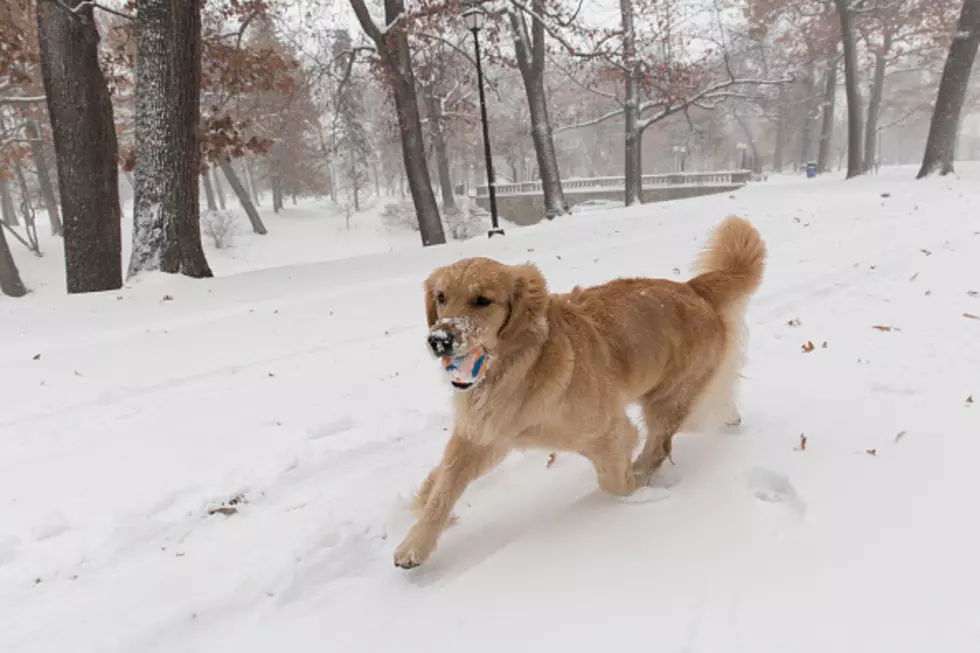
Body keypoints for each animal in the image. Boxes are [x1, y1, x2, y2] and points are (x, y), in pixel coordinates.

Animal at [392, 215, 764, 564]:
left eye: (482, 300)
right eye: (441, 297)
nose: (439, 340)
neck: (522, 365)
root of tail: (694, 288)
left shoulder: (610, 431)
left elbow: (613, 481)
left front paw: (637, 490)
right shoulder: (483, 434)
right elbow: (443, 487)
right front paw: (416, 541)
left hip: (667, 399)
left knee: (662, 443)